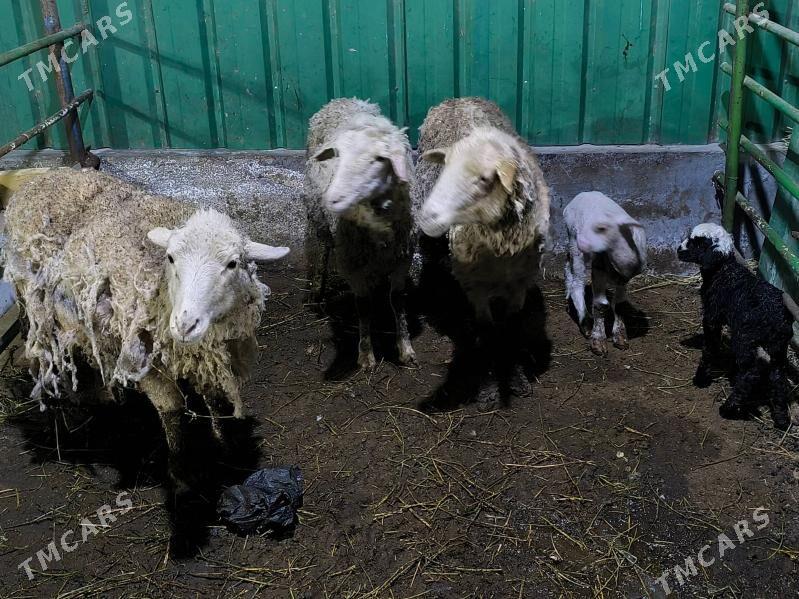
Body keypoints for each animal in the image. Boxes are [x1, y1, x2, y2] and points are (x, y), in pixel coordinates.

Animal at [2, 168, 290, 487]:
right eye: (171, 258)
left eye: (232, 264)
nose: (185, 325)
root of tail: (40, 179)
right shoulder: (140, 356)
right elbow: (172, 408)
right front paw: (180, 469)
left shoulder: (210, 354)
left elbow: (215, 398)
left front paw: (226, 449)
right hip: (36, 305)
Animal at [304, 98, 416, 371]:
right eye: (338, 155)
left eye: (379, 159)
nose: (332, 199)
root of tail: (344, 100)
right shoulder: (351, 264)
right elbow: (363, 306)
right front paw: (366, 355)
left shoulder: (403, 258)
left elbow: (398, 299)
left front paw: (405, 348)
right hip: (319, 220)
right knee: (323, 249)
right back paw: (317, 292)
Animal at [414, 98, 551, 397]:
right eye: (445, 168)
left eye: (485, 179)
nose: (427, 217)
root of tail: (458, 99)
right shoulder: (474, 284)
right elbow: (486, 329)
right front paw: (488, 385)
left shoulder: (522, 281)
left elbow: (512, 326)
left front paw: (515, 377)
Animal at [563, 191, 647, 356]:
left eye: (601, 228)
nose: (583, 241)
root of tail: (584, 193)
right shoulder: (599, 269)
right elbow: (601, 305)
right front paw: (598, 341)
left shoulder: (624, 278)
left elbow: (620, 305)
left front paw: (620, 337)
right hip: (573, 240)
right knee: (577, 280)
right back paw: (586, 322)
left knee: (568, 267)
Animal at [678, 223, 793, 430]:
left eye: (697, 243)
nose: (678, 250)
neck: (724, 271)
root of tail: (778, 321)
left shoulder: (712, 316)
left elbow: (710, 347)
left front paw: (701, 379)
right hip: (778, 347)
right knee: (778, 376)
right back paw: (781, 419)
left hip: (744, 338)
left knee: (750, 374)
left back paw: (728, 408)